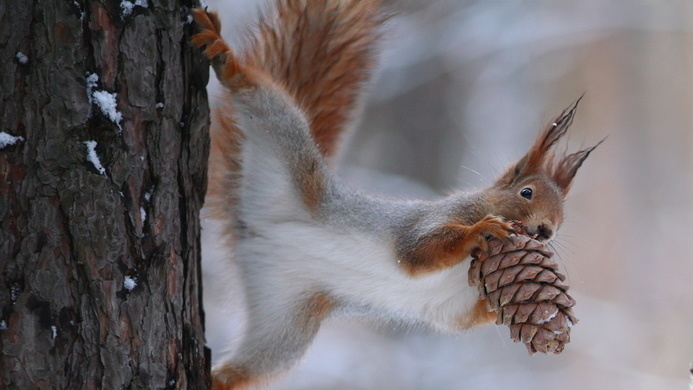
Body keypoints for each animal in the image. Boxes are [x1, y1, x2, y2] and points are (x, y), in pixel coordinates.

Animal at [191, 1, 600, 388]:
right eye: (526, 192)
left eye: (563, 218)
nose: (546, 231)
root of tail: (250, 230)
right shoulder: (432, 219)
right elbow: (418, 251)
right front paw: (480, 231)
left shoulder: (457, 302)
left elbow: (462, 319)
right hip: (285, 145)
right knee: (258, 96)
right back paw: (223, 55)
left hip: (286, 320)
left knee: (255, 363)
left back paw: (219, 379)